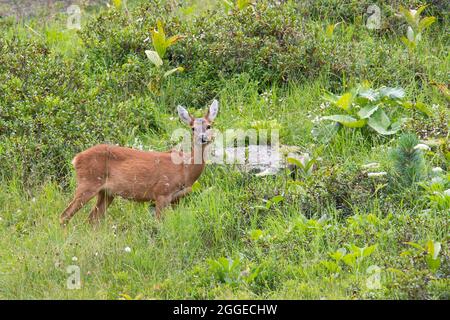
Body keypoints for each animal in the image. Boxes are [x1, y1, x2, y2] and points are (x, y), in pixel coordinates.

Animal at [59, 99, 220, 225]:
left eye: (209, 126)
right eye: (192, 128)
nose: (203, 137)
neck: (185, 169)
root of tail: (76, 159)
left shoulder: (177, 199)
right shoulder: (162, 192)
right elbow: (159, 224)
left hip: (106, 193)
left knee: (92, 218)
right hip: (87, 183)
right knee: (65, 215)